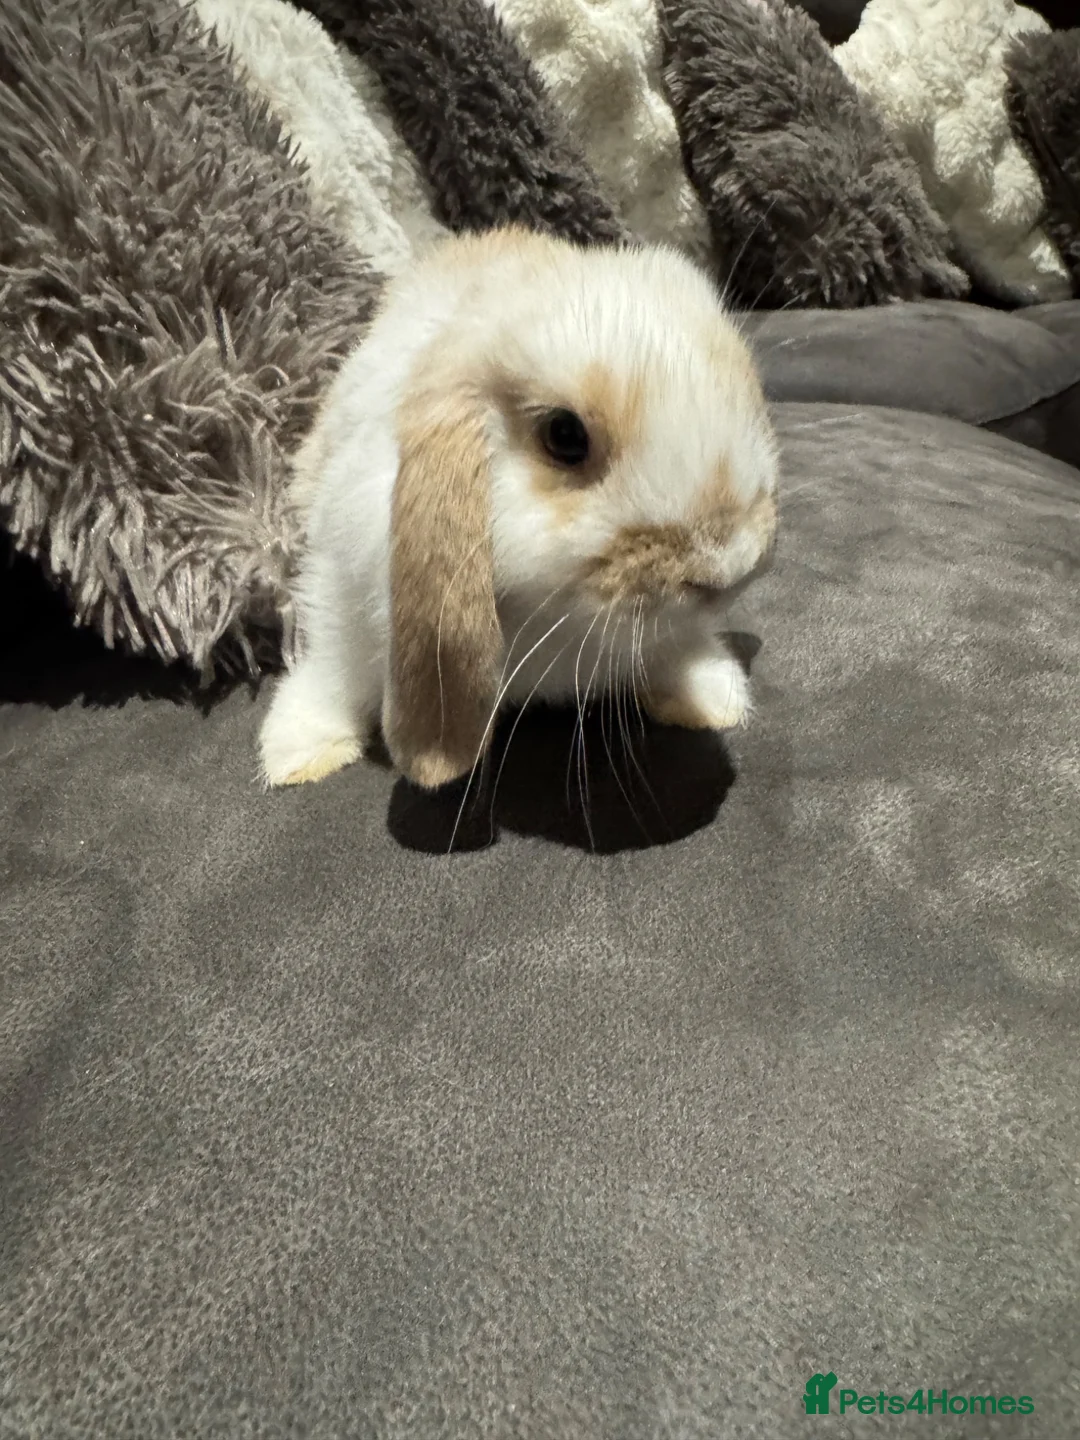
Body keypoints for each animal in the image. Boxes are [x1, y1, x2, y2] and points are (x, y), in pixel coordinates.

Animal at [259, 226, 779, 791]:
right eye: (564, 435)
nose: (730, 567)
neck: (552, 621)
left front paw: (710, 693)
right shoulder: (339, 585)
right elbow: (335, 671)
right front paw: (298, 749)